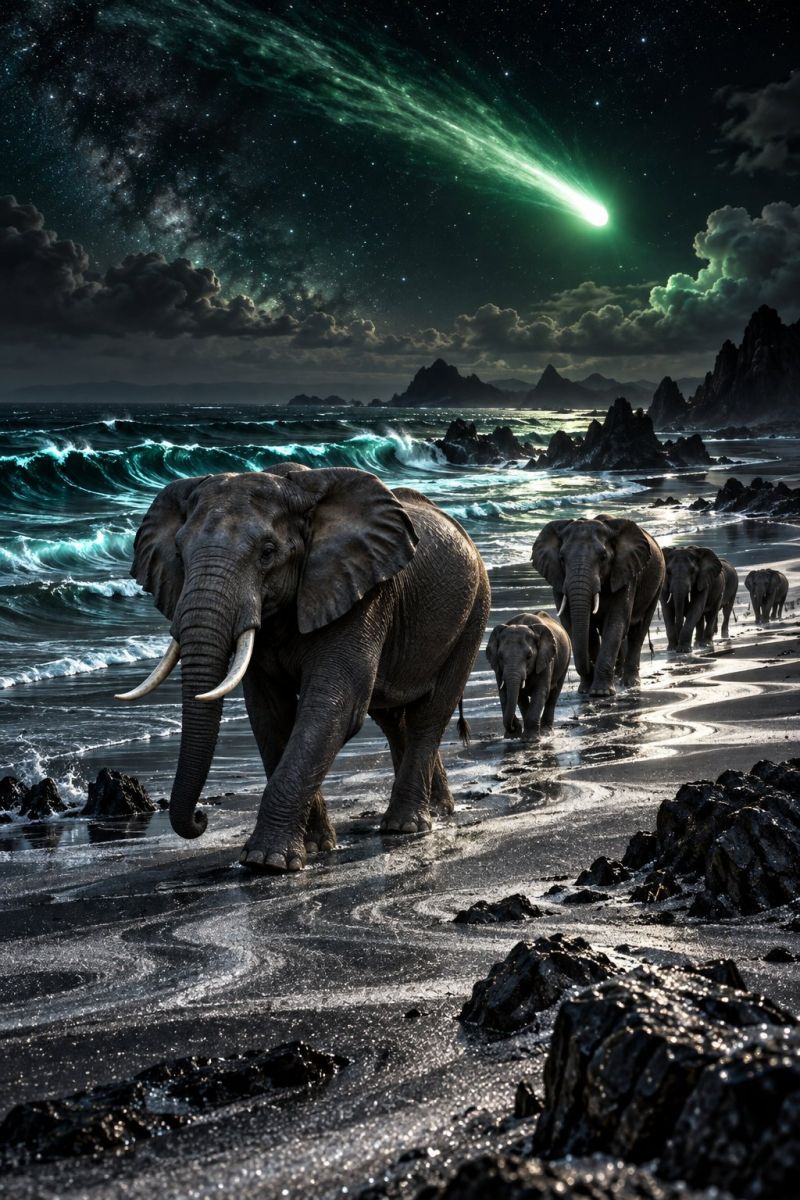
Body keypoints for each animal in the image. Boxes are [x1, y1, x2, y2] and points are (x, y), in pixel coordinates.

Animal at [117, 465, 491, 872]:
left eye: (268, 553)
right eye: (180, 554)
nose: (201, 818)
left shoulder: (361, 594)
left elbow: (333, 707)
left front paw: (267, 862)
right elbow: (269, 714)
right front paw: (312, 848)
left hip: (475, 609)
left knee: (430, 714)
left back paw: (406, 826)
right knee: (394, 720)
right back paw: (434, 811)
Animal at [531, 515, 665, 696]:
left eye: (603, 557)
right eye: (561, 558)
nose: (590, 669)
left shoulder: (625, 575)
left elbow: (615, 623)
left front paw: (600, 692)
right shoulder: (558, 579)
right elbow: (577, 627)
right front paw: (585, 689)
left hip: (657, 583)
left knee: (639, 630)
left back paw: (630, 683)